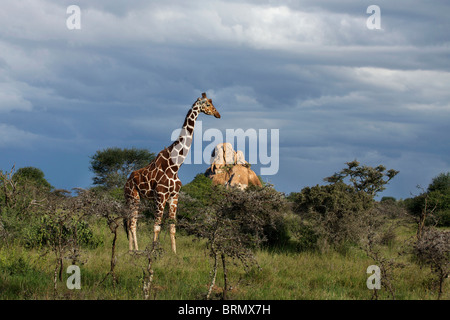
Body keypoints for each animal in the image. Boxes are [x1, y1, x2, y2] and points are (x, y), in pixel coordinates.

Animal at [124, 92, 221, 252]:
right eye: (207, 104)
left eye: (212, 103)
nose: (217, 114)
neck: (175, 165)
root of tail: (126, 182)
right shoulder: (161, 196)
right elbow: (156, 226)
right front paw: (153, 251)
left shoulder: (174, 196)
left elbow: (172, 227)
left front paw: (174, 253)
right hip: (133, 197)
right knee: (132, 223)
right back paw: (136, 250)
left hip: (136, 199)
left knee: (131, 222)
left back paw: (131, 249)